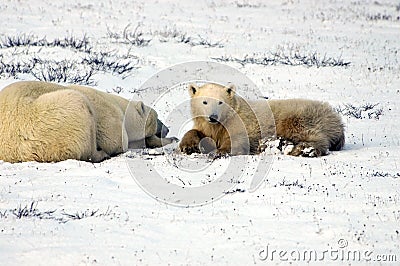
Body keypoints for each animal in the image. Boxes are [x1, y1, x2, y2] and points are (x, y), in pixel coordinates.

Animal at [178, 83, 344, 157]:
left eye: (220, 102)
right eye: (205, 101)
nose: (213, 117)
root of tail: (337, 119)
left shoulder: (241, 123)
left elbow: (238, 140)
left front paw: (220, 151)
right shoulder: (207, 125)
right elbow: (196, 131)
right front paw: (188, 146)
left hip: (300, 115)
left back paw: (303, 149)